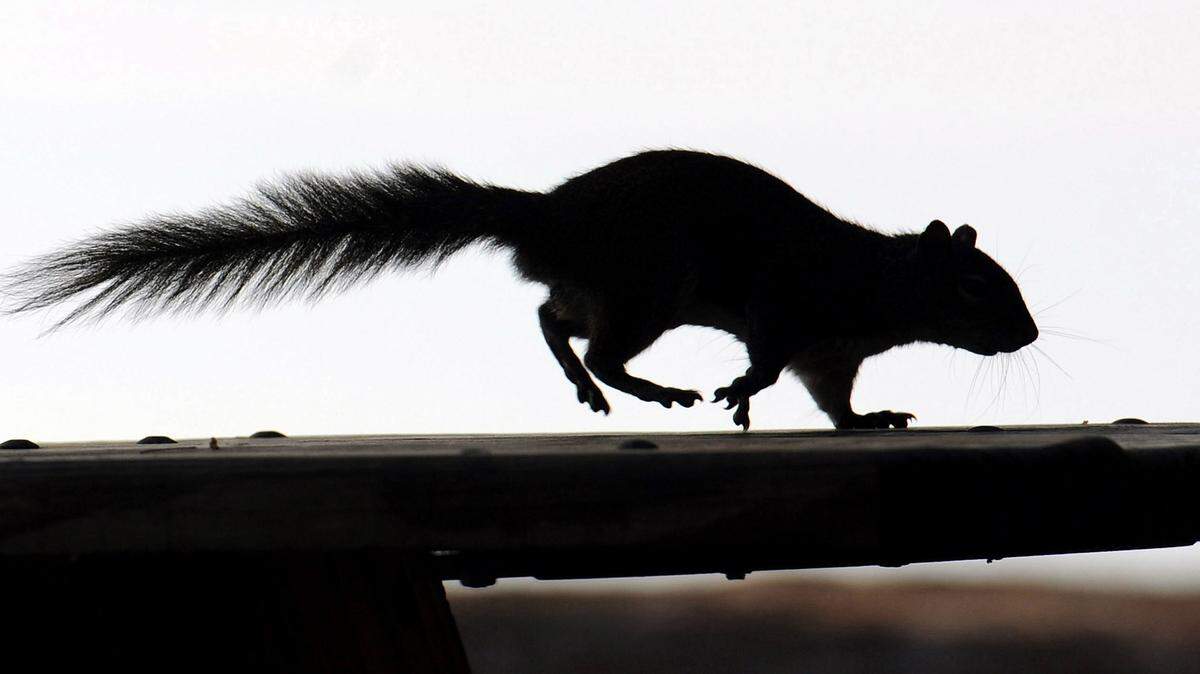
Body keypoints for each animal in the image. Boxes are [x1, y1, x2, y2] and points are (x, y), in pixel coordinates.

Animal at [3, 149, 1038, 430]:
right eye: (978, 288)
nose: (1028, 338)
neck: (872, 280)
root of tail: (548, 218)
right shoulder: (790, 310)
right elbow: (769, 359)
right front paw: (740, 391)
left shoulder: (832, 352)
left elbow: (832, 401)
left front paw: (872, 419)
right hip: (649, 292)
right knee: (594, 342)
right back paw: (644, 389)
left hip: (613, 290)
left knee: (551, 318)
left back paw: (589, 387)